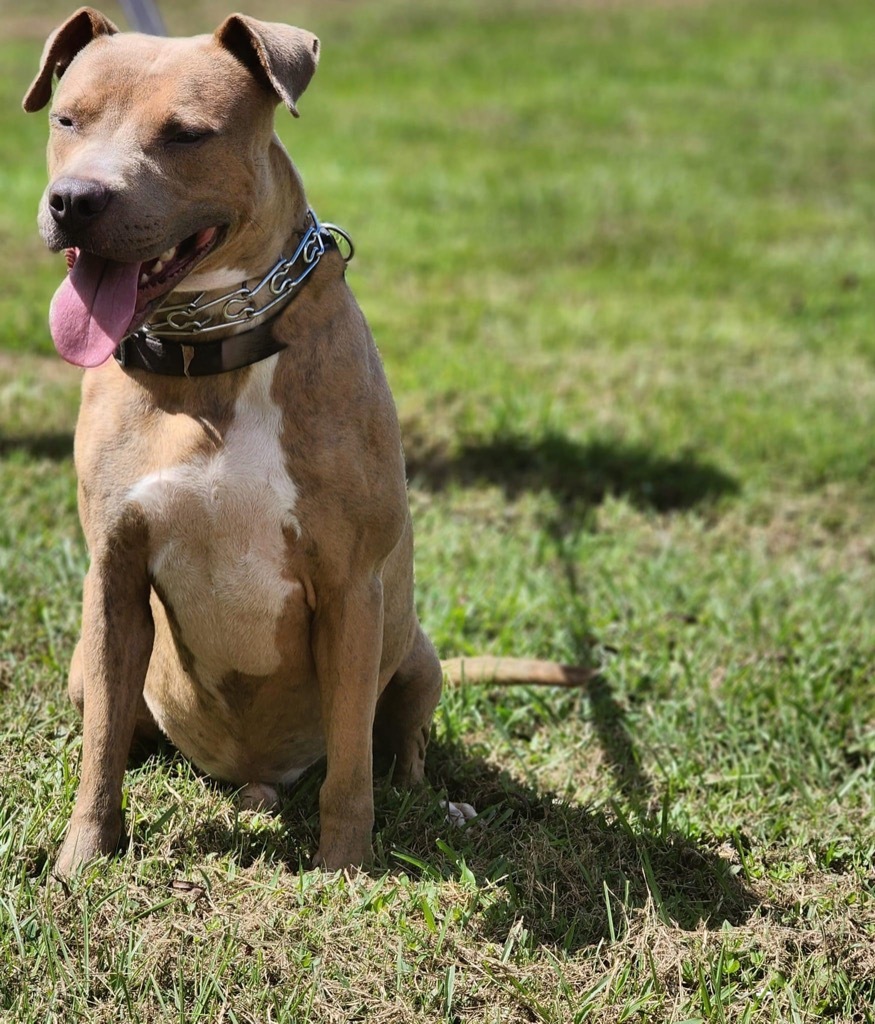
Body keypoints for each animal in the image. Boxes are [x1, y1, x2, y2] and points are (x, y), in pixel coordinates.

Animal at [23, 8, 586, 876]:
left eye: (186, 134)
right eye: (66, 119)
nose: (74, 201)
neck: (214, 353)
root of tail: (250, 779)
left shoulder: (351, 588)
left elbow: (350, 764)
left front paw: (345, 867)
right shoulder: (113, 573)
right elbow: (101, 751)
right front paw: (83, 858)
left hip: (415, 654)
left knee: (398, 747)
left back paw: (438, 803)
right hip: (88, 667)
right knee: (118, 728)